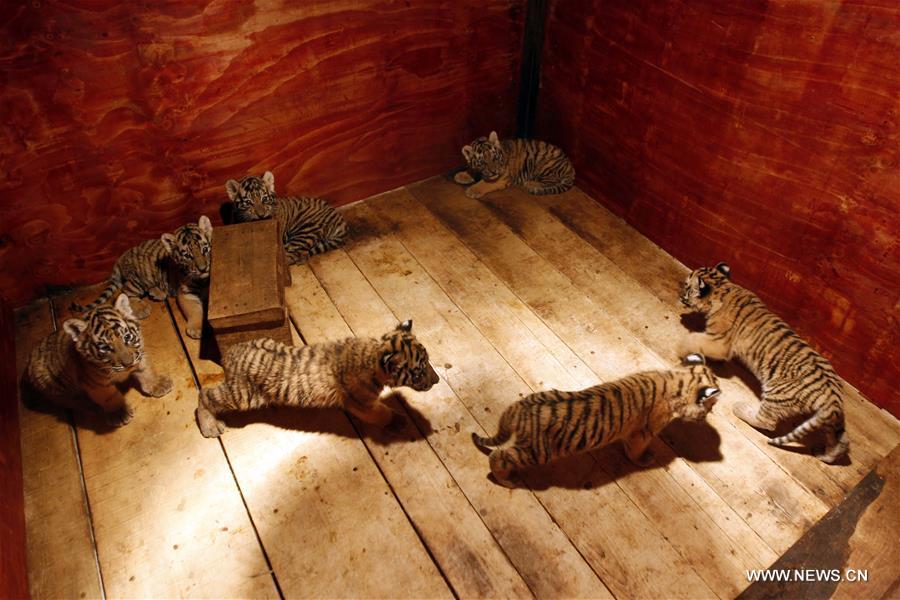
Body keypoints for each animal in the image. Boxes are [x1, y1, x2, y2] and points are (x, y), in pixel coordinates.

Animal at [24, 293, 173, 426]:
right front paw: (119, 413)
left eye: (127, 337)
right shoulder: (96, 384)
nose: (128, 363)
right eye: (105, 348)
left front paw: (159, 385)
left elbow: (146, 370)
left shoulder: (139, 354)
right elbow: (109, 397)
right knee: (68, 400)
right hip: (53, 385)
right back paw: (91, 405)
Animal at [70, 216, 213, 339]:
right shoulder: (185, 293)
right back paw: (142, 308)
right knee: (126, 290)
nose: (203, 269)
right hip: (138, 280)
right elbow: (194, 310)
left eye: (205, 249)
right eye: (187, 256)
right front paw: (197, 328)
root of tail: (121, 257)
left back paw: (157, 293)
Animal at [195, 319, 439, 438]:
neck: (373, 355)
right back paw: (210, 426)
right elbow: (381, 413)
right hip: (241, 394)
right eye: (419, 371)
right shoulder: (359, 403)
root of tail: (231, 352)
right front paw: (398, 421)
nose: (437, 380)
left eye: (428, 360)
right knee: (205, 395)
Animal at [472, 354, 720, 488]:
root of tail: (520, 407)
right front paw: (645, 460)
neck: (676, 378)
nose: (708, 416)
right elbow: (636, 452)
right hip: (536, 451)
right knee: (498, 456)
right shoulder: (642, 434)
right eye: (710, 407)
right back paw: (506, 481)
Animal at [679, 262, 849, 463]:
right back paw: (824, 454)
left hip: (777, 394)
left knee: (767, 422)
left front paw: (681, 348)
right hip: (830, 422)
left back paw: (740, 409)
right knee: (841, 442)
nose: (679, 292)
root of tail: (833, 397)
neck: (723, 287)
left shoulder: (719, 341)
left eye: (687, 286)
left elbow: (694, 339)